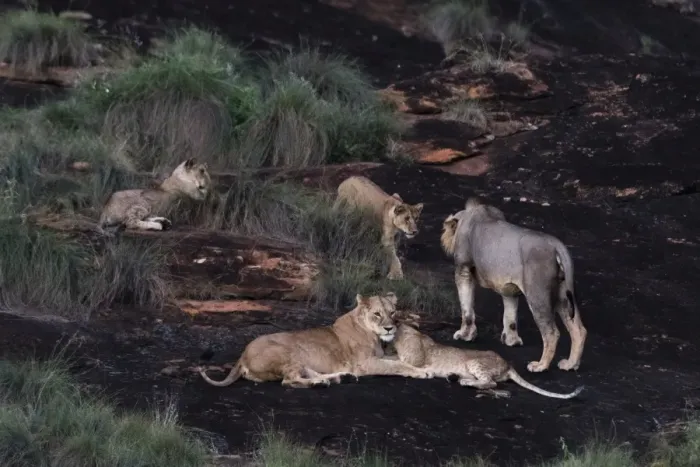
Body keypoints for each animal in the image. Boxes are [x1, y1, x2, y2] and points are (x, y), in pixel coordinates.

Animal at [197, 292, 433, 389]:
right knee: (289, 381)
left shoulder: (379, 356)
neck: (374, 335)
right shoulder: (364, 364)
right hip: (286, 353)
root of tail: (242, 356)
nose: (389, 327)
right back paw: (320, 383)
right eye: (377, 314)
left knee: (306, 373)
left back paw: (337, 378)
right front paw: (422, 372)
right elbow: (397, 365)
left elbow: (397, 359)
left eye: (392, 312)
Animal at [391, 321, 584, 399]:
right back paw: (455, 377)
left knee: (490, 382)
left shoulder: (416, 359)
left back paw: (465, 382)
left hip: (474, 363)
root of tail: (507, 364)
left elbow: (403, 360)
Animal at [441, 197, 588, 373]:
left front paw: (465, 335)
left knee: (552, 333)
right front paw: (512, 341)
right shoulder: (508, 287)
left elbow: (466, 308)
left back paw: (540, 366)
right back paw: (570, 364)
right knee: (579, 330)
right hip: (562, 294)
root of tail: (557, 245)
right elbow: (510, 315)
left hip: (537, 295)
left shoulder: (463, 270)